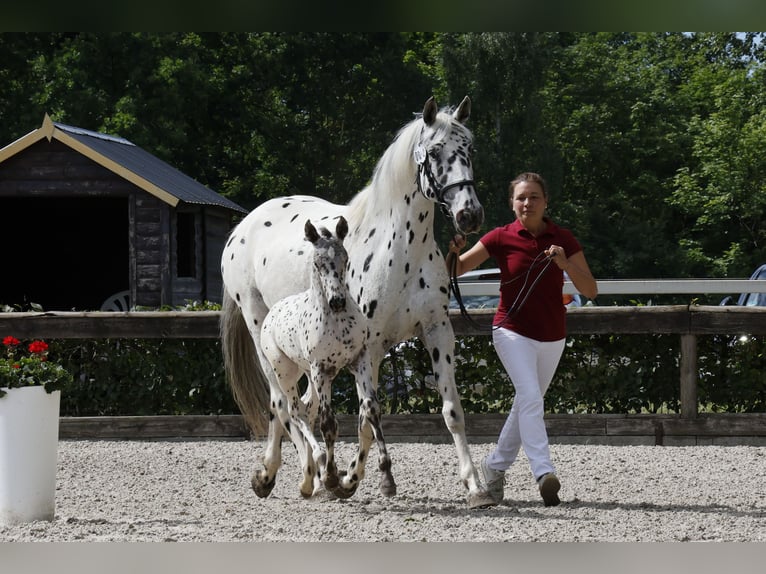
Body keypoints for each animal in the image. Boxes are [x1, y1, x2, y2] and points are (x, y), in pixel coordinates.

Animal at [222, 97, 498, 510]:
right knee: (281, 403)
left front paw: (475, 487)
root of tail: (242, 227)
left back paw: (295, 475)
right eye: (434, 151)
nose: (469, 214)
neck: (399, 249)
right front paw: (352, 479)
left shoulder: (436, 333)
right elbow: (367, 417)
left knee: (301, 405)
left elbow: (450, 411)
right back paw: (294, 475)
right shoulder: (371, 348)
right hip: (264, 337)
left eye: (469, 149)